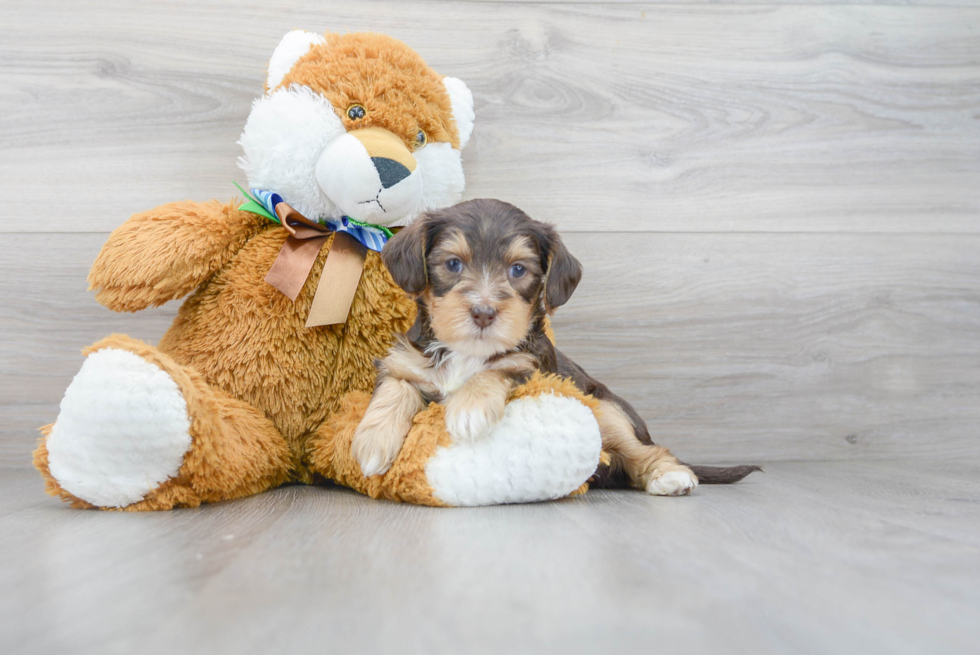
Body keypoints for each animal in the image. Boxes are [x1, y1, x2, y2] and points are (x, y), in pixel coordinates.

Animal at [350, 197, 756, 494]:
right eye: (452, 264)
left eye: (518, 270)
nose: (483, 312)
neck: (468, 351)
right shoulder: (405, 362)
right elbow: (395, 388)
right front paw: (372, 443)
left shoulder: (534, 367)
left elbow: (500, 368)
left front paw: (469, 407)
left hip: (605, 408)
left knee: (644, 450)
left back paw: (670, 476)